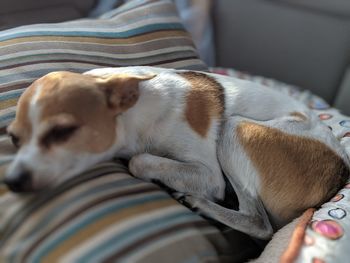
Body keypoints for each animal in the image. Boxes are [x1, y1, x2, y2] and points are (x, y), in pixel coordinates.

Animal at [3, 66, 350, 239]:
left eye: (62, 132)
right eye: (14, 138)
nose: (13, 181)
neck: (135, 106)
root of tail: (341, 167)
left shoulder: (209, 175)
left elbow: (139, 160)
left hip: (233, 130)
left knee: (259, 223)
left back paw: (200, 203)